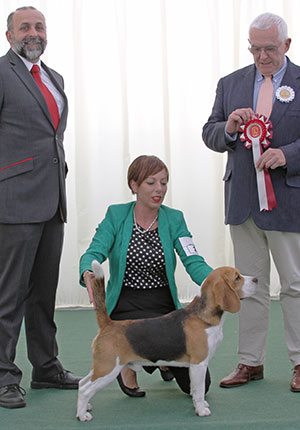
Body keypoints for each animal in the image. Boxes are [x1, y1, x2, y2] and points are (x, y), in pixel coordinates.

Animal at [76, 260, 256, 422]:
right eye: (237, 277)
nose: (256, 280)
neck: (203, 316)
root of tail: (109, 324)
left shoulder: (196, 367)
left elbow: (196, 389)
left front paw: (201, 405)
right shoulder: (198, 364)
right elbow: (199, 390)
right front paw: (201, 409)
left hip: (101, 366)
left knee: (82, 384)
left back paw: (85, 407)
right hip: (108, 368)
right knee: (85, 389)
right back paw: (82, 415)